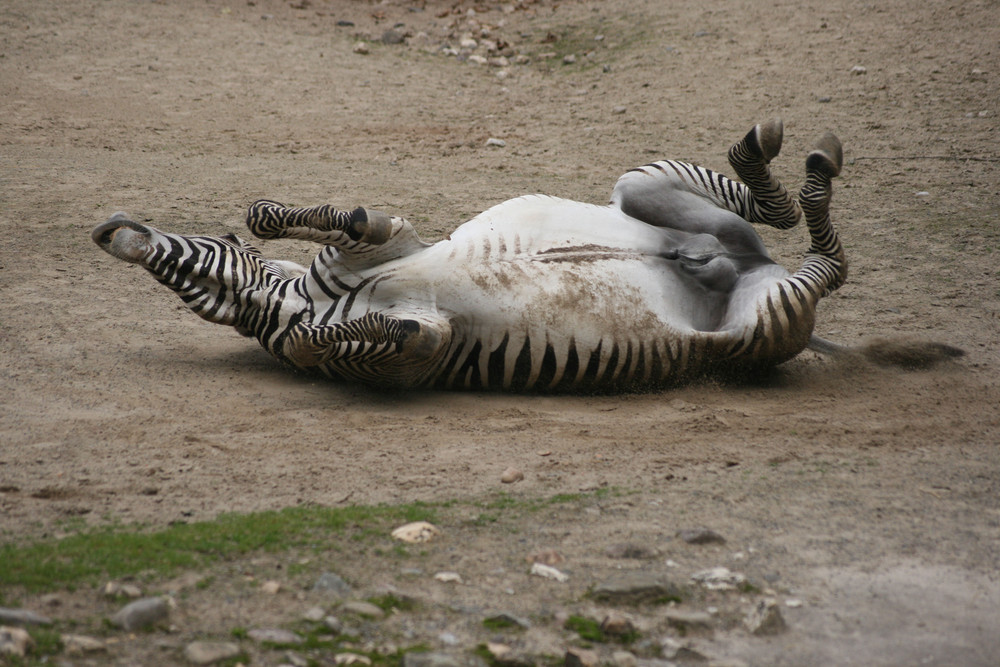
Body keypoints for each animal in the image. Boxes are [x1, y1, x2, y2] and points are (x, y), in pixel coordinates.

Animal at [94, 121, 960, 392]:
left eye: (214, 248)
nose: (111, 230)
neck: (298, 307)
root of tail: (745, 271)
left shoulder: (387, 237)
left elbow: (339, 216)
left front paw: (272, 215)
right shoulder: (408, 353)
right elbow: (395, 338)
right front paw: (372, 330)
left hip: (649, 191)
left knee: (788, 226)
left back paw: (783, 155)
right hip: (759, 321)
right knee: (819, 261)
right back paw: (800, 171)